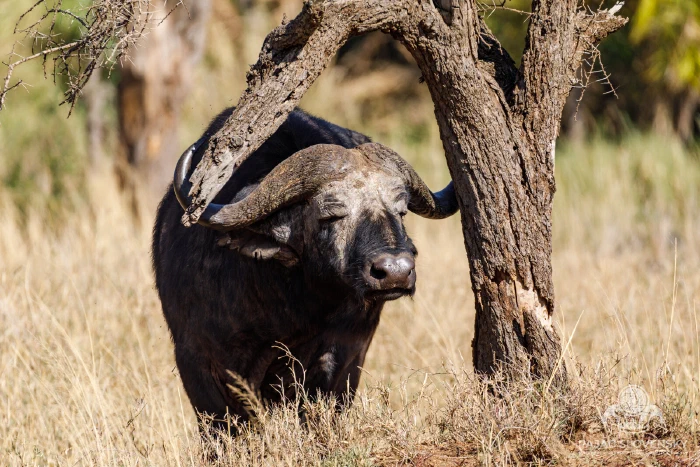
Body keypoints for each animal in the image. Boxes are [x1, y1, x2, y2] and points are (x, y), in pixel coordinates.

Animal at [152, 108, 458, 432]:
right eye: (331, 214)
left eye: (400, 211)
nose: (396, 271)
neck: (287, 305)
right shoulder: (198, 359)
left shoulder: (344, 354)